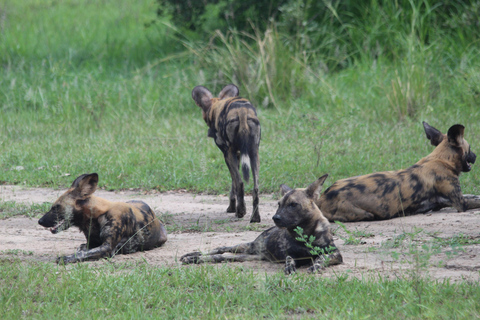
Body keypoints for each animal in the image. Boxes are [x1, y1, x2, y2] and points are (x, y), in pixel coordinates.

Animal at [38, 174, 168, 264]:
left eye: (56, 207)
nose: (39, 221)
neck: (94, 217)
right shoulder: (92, 244)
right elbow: (83, 250)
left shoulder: (107, 248)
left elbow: (82, 254)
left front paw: (66, 258)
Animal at [180, 175, 342, 276]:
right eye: (279, 204)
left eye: (293, 205)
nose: (275, 218)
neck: (306, 234)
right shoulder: (292, 255)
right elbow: (289, 259)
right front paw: (289, 267)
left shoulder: (335, 254)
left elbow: (322, 258)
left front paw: (315, 266)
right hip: (244, 247)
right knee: (220, 250)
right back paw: (193, 256)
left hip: (248, 256)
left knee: (222, 257)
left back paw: (195, 258)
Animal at [191, 84, 260, 221]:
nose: (209, 132)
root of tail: (242, 111)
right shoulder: (238, 154)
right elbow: (233, 185)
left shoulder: (228, 154)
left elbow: (234, 183)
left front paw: (233, 208)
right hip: (254, 153)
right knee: (255, 188)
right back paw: (255, 218)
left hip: (231, 154)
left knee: (240, 183)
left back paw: (240, 212)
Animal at [310, 121, 478, 221]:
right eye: (470, 149)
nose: (476, 156)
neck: (441, 159)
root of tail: (323, 197)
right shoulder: (460, 203)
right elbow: (474, 201)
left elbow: (474, 196)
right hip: (367, 214)